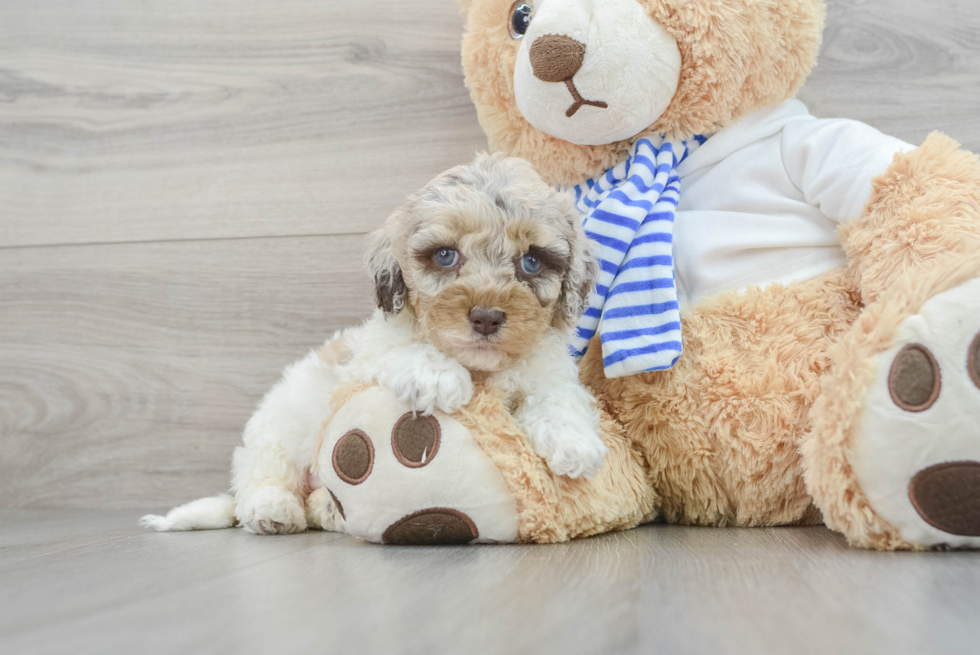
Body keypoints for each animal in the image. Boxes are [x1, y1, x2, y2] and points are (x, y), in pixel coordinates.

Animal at [143, 156, 608, 536]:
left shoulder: (546, 368)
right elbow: (398, 351)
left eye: (531, 261)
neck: (481, 367)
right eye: (445, 256)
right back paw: (272, 510)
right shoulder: (363, 358)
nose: (487, 317)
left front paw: (574, 441)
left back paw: (326, 511)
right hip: (275, 432)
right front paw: (438, 376)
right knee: (262, 478)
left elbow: (557, 395)